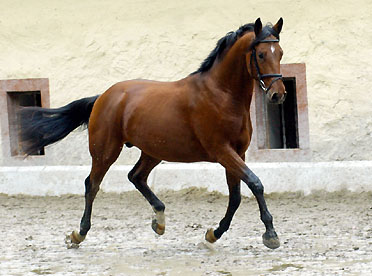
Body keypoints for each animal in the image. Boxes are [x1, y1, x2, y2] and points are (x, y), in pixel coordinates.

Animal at [19, 17, 284, 250]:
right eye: (261, 54)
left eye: (280, 53)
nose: (278, 95)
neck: (221, 95)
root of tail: (103, 96)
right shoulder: (222, 151)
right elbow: (255, 183)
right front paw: (270, 235)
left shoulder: (238, 153)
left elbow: (236, 196)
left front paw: (212, 234)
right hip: (106, 151)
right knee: (92, 184)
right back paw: (78, 234)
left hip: (154, 150)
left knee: (136, 176)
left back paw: (159, 221)